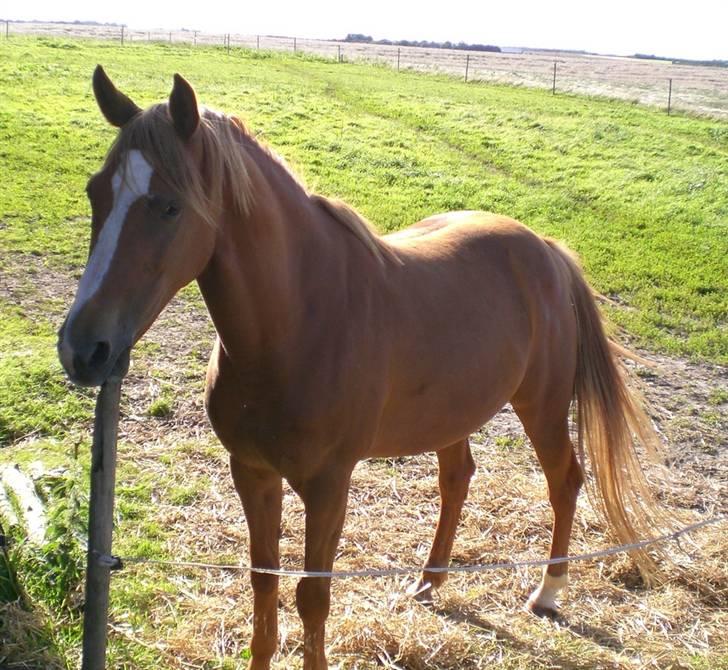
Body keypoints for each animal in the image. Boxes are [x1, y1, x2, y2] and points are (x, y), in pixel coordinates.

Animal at [58, 68, 664, 670]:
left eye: (169, 207)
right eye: (95, 192)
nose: (81, 348)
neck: (299, 323)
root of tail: (546, 249)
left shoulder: (329, 485)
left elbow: (312, 595)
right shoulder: (252, 471)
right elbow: (263, 582)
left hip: (541, 407)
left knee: (565, 481)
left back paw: (548, 592)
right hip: (453, 413)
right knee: (457, 479)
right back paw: (429, 582)